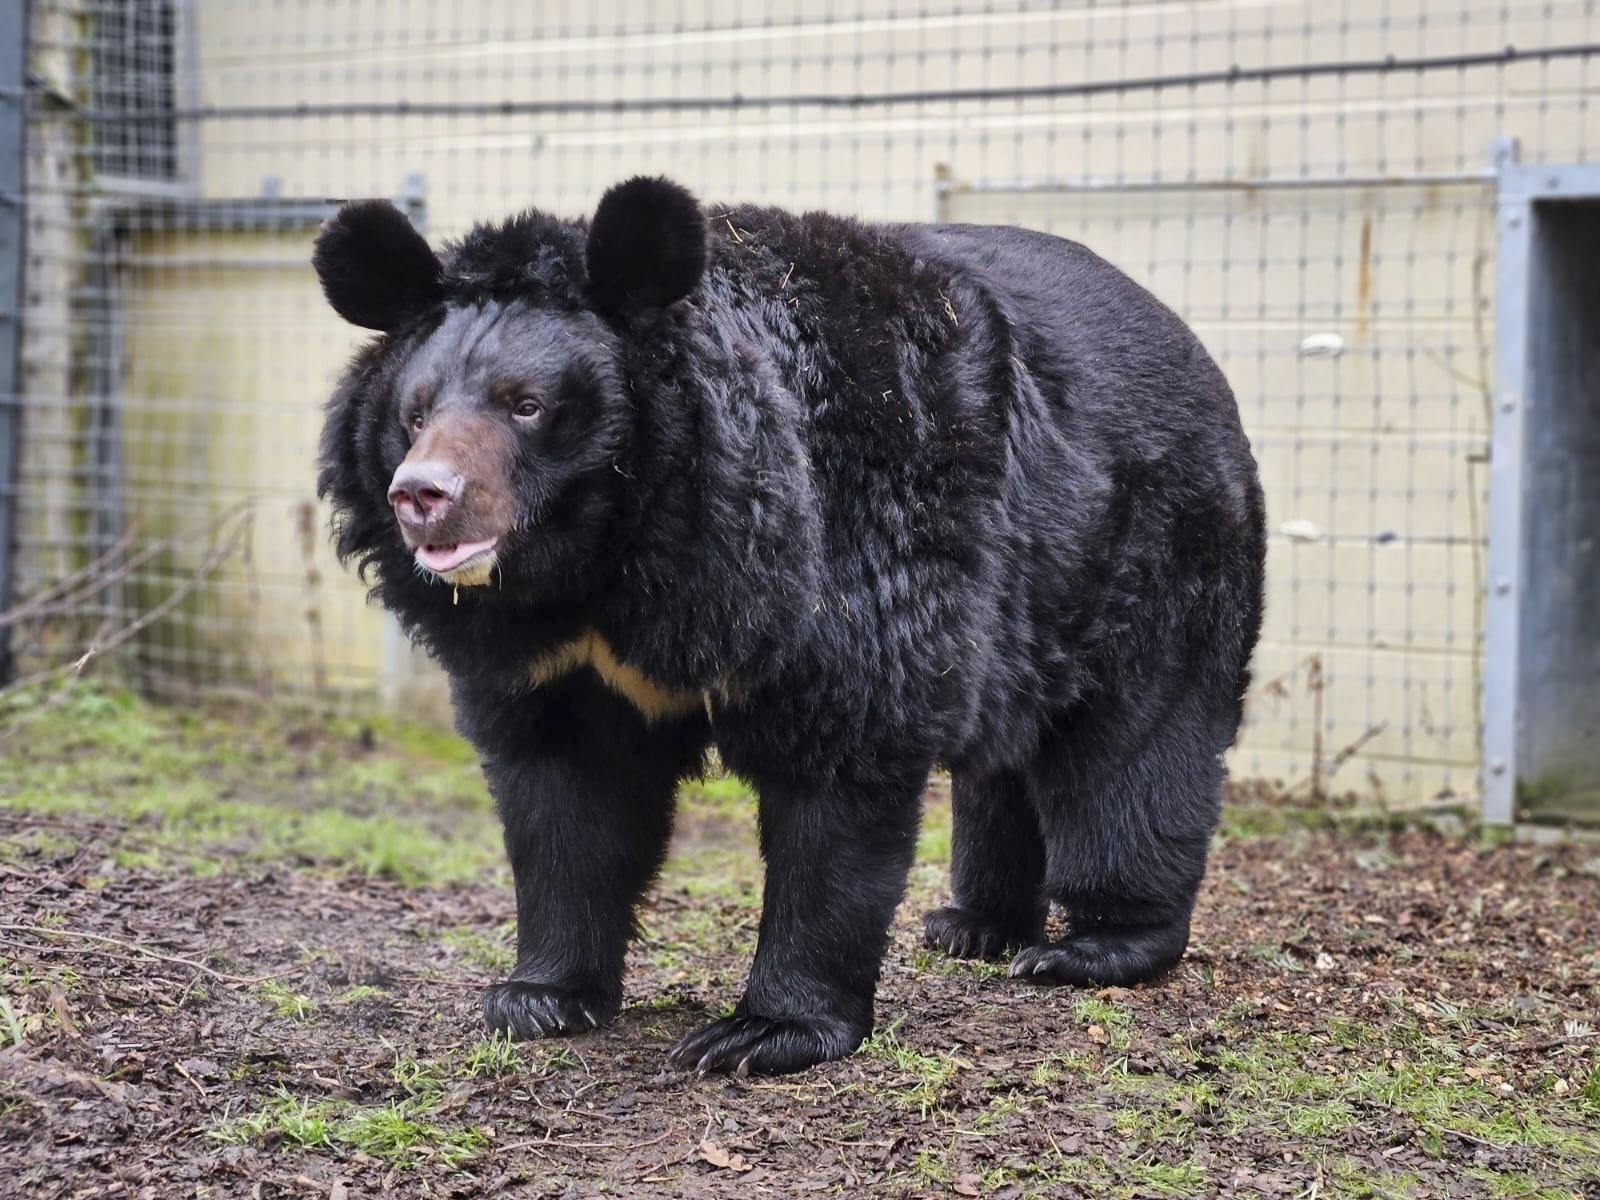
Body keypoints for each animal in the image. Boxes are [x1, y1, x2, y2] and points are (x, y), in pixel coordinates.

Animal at [312, 177, 1266, 1076]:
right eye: (415, 411)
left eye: (528, 406)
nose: (421, 495)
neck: (609, 566)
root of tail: (1192, 343)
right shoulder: (555, 662)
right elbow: (566, 799)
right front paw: (537, 997)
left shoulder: (847, 553)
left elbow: (840, 775)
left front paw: (762, 1032)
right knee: (1005, 755)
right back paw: (972, 924)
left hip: (1154, 551)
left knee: (1132, 749)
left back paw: (1095, 946)